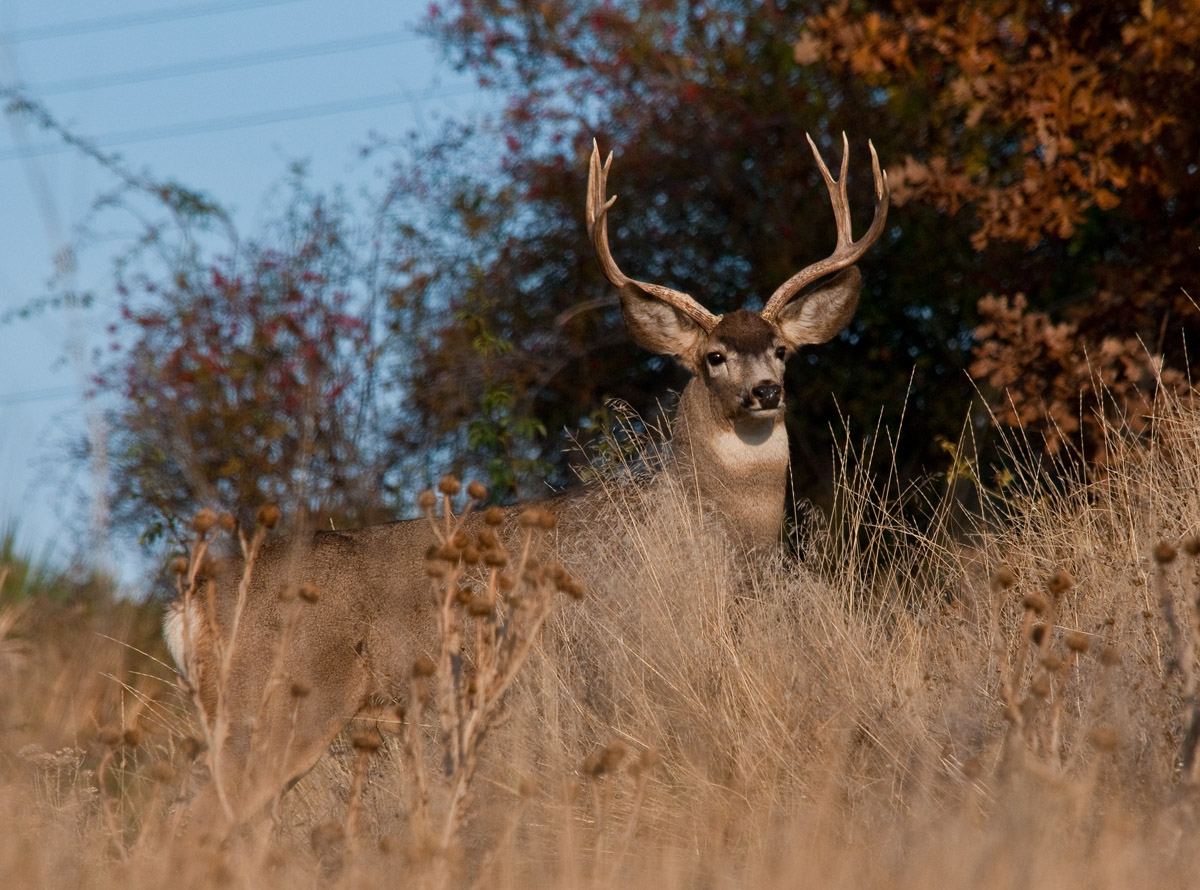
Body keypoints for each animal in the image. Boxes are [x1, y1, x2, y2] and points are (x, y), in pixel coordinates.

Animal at [164, 134, 888, 825]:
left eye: (782, 350)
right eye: (713, 357)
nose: (765, 391)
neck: (709, 521)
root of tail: (190, 603)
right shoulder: (628, 653)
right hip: (276, 701)